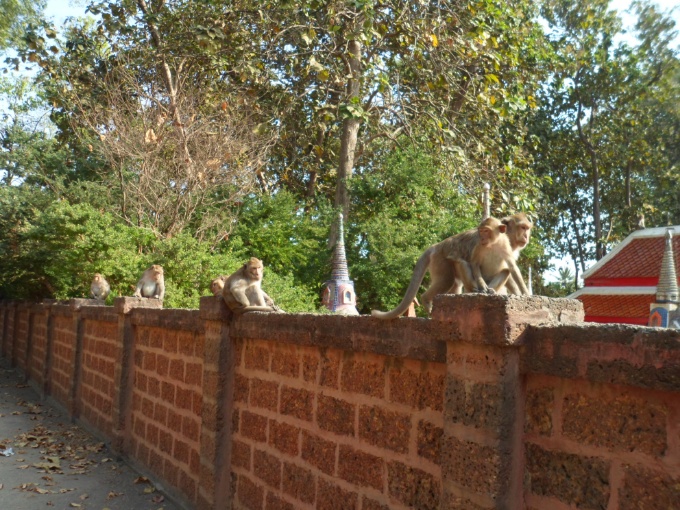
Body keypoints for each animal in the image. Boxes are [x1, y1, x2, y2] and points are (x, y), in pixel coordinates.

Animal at [372, 212, 532, 318]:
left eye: (527, 228)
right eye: (522, 227)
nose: (526, 236)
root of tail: (436, 246)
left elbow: (510, 269)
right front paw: (521, 294)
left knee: (455, 284)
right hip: (440, 262)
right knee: (447, 279)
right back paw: (427, 300)